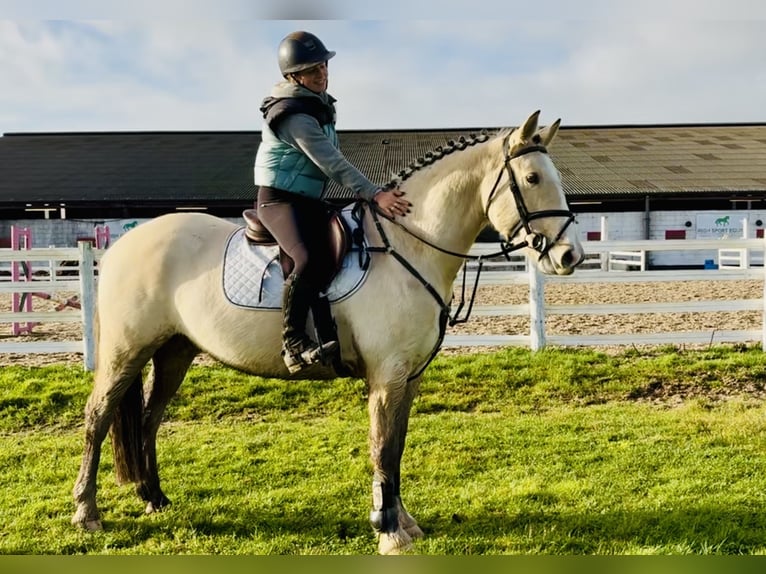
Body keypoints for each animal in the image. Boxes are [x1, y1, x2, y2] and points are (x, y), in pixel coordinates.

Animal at [71, 110, 585, 554]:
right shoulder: (387, 376)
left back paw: (154, 498)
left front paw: (403, 523)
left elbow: (396, 448)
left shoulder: (408, 378)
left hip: (174, 351)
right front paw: (388, 532)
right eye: (533, 179)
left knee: (149, 420)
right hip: (124, 353)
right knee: (98, 418)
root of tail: (120, 246)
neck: (407, 246)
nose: (569, 256)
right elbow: (382, 448)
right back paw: (86, 512)